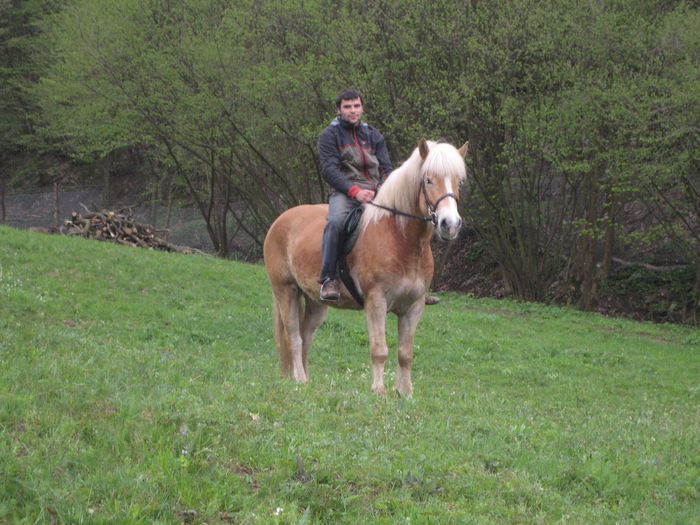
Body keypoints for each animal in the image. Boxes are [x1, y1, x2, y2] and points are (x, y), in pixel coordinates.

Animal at [262, 139, 464, 392]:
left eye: (459, 181)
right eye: (428, 180)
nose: (450, 224)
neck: (402, 240)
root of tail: (281, 220)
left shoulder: (414, 306)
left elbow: (405, 354)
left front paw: (405, 392)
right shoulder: (376, 302)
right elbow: (379, 350)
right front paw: (379, 391)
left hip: (315, 301)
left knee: (306, 336)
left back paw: (306, 380)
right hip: (285, 291)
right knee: (294, 337)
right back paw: (299, 378)